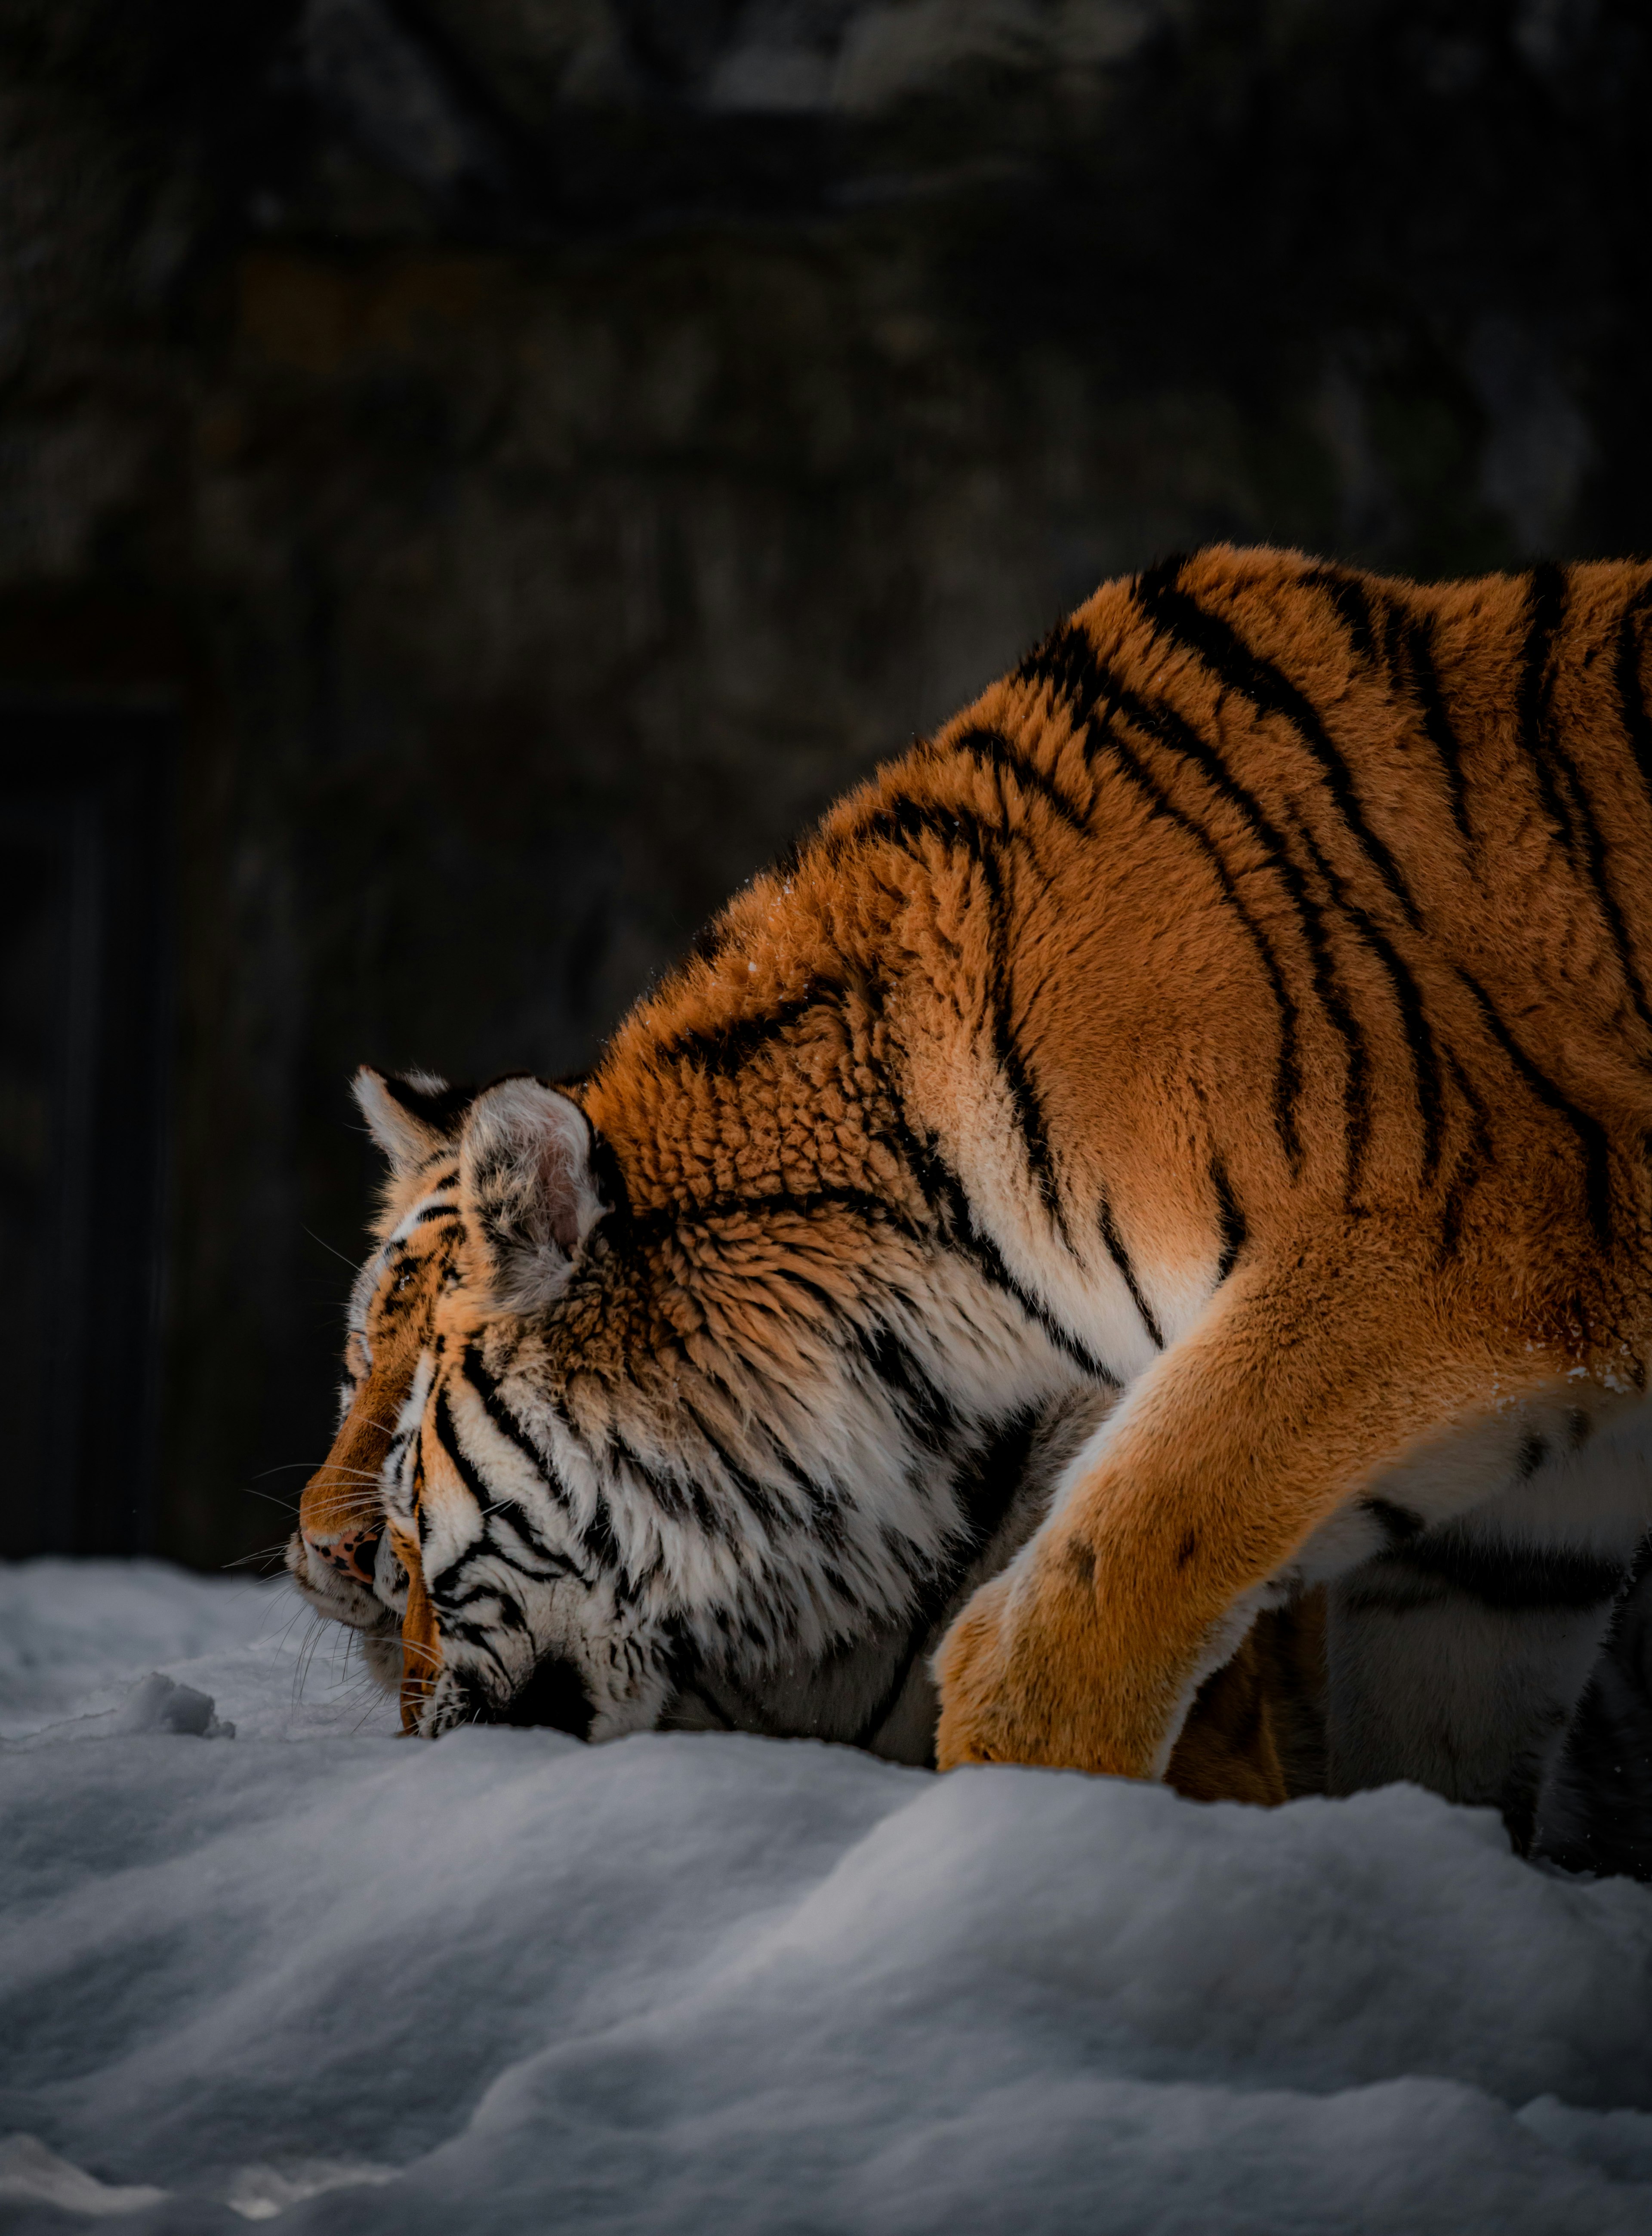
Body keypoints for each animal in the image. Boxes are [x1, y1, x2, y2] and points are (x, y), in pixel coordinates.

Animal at [290, 545, 1652, 1851]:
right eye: (352, 1367)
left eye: (414, 1520)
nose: (329, 1563)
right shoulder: (1506, 1543)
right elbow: (1438, 1762)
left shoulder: (1427, 1258)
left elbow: (1071, 1614)